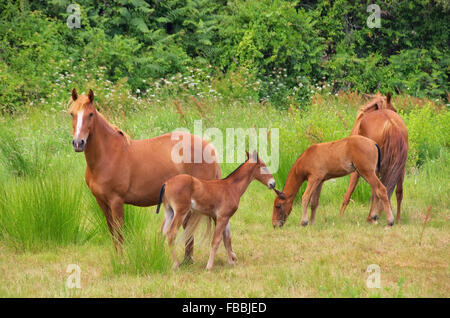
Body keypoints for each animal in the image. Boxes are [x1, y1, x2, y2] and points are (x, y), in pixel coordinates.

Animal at [68, 88, 221, 260]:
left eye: (91, 114)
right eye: (72, 113)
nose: (78, 143)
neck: (107, 155)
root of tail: (210, 147)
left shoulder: (116, 201)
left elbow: (119, 233)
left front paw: (121, 261)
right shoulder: (101, 202)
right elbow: (112, 231)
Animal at [342, 92, 408, 221]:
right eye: (395, 110)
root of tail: (390, 123)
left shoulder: (357, 170)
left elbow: (348, 193)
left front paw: (340, 215)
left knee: (377, 190)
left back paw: (371, 217)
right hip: (400, 166)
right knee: (398, 191)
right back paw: (397, 218)